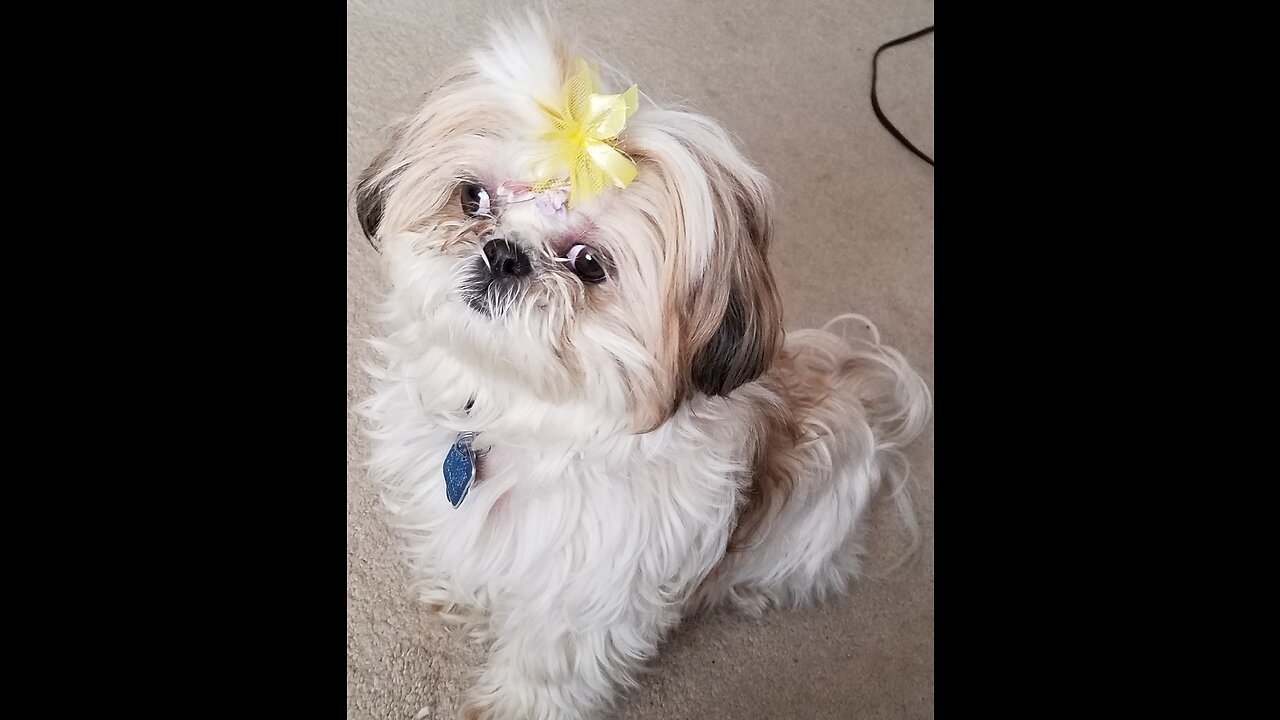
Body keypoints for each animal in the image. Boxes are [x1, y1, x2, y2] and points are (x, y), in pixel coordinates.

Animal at [353, 16, 931, 717]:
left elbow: (545, 668)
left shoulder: (583, 598)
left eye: (588, 264)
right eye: (473, 199)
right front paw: (461, 597)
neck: (517, 414)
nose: (504, 254)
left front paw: (508, 707)